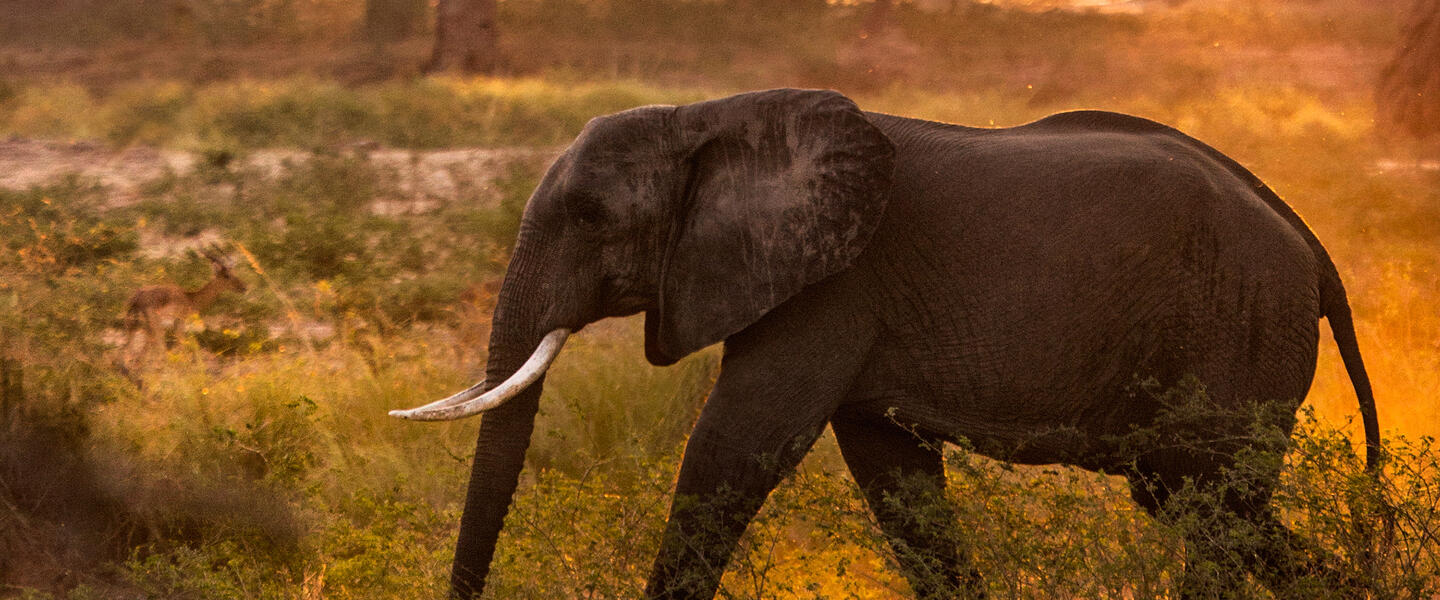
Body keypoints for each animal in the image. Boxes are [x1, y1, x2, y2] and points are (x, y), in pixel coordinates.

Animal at [388, 88, 1376, 598]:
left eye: (592, 216)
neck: (709, 116)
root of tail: (1311, 245)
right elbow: (895, 483)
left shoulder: (833, 285)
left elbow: (734, 450)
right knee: (1194, 504)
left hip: (1240, 328)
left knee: (1212, 505)